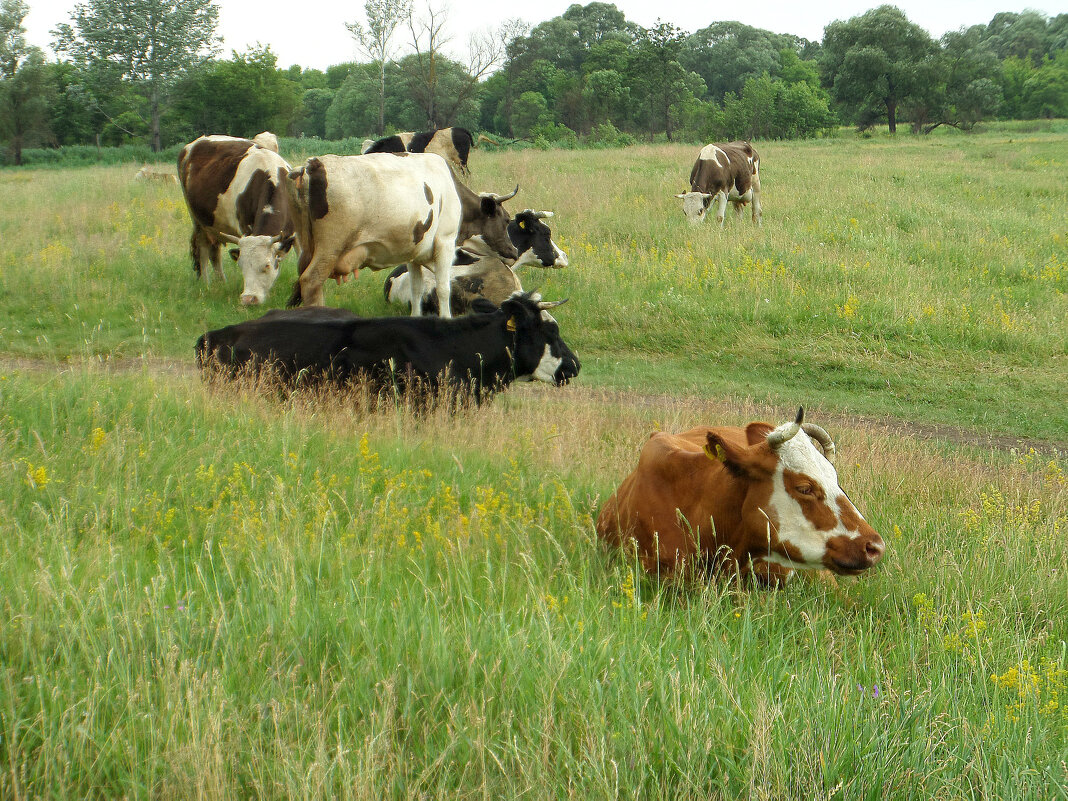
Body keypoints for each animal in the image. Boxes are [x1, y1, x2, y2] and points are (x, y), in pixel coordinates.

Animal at [178, 136, 296, 305]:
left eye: (266, 265)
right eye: (241, 265)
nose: (248, 299)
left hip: (215, 224)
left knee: (214, 251)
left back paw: (221, 282)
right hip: (198, 220)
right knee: (203, 250)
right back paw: (206, 284)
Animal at [281, 151, 519, 316]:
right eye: (506, 220)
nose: (514, 251)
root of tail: (311, 166)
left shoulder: (415, 253)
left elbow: (416, 289)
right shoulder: (444, 242)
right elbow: (444, 288)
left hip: (306, 248)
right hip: (330, 248)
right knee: (311, 281)